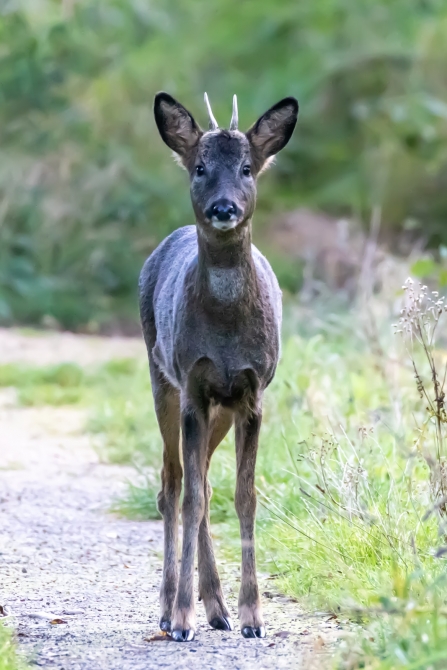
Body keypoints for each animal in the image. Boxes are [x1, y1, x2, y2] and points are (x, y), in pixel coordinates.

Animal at [140, 89, 300, 640]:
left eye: (248, 168)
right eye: (200, 166)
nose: (224, 207)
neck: (228, 332)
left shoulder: (251, 392)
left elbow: (244, 495)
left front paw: (253, 616)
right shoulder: (193, 384)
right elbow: (190, 498)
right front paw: (181, 617)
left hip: (222, 408)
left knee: (204, 482)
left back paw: (219, 609)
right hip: (161, 377)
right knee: (173, 485)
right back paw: (171, 609)